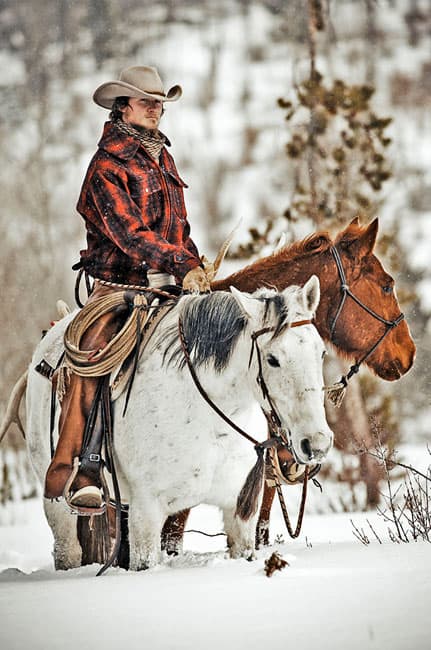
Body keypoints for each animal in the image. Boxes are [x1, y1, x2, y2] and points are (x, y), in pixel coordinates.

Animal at [26, 276, 334, 568]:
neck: (211, 424)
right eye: (272, 359)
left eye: (321, 352)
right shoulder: (146, 512)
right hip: (57, 501)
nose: (317, 443)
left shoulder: (242, 508)